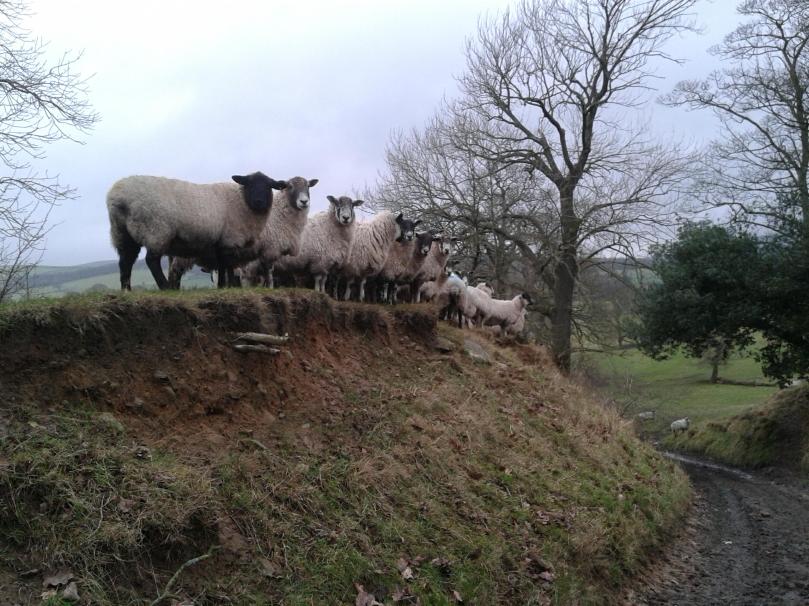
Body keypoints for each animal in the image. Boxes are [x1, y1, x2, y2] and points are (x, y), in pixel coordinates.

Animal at [107, 172, 287, 290]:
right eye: (249, 184)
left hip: (122, 234)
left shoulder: (221, 241)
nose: (259, 201)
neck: (242, 201)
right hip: (156, 230)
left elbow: (223, 265)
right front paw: (228, 286)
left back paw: (126, 290)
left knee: (125, 262)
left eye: (269, 186)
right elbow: (227, 264)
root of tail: (117, 197)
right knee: (151, 260)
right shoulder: (229, 239)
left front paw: (224, 286)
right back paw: (165, 287)